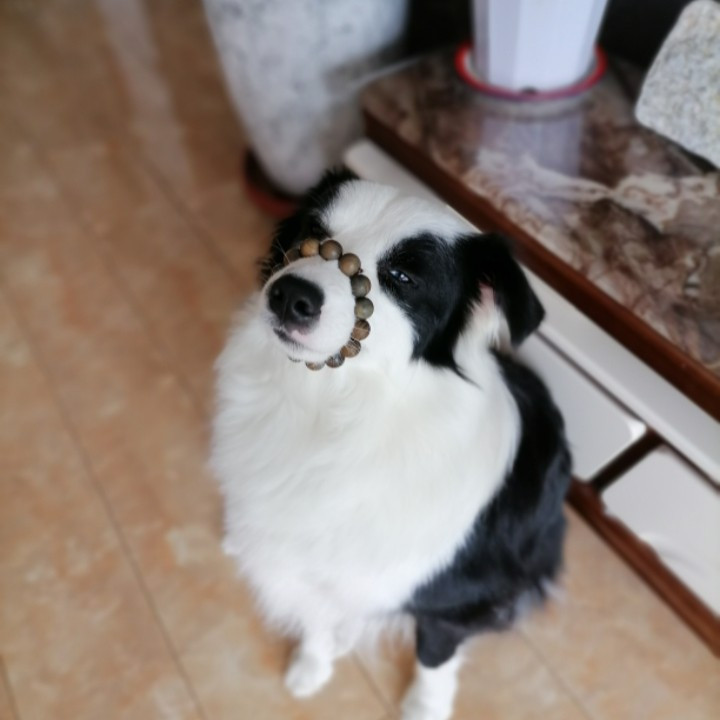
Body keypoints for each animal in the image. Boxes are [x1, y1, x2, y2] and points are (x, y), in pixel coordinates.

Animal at [211, 170, 571, 720]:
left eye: (402, 278)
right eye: (313, 233)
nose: (290, 295)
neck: (335, 411)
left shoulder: (451, 597)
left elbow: (435, 653)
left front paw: (424, 706)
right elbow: (316, 616)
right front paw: (312, 665)